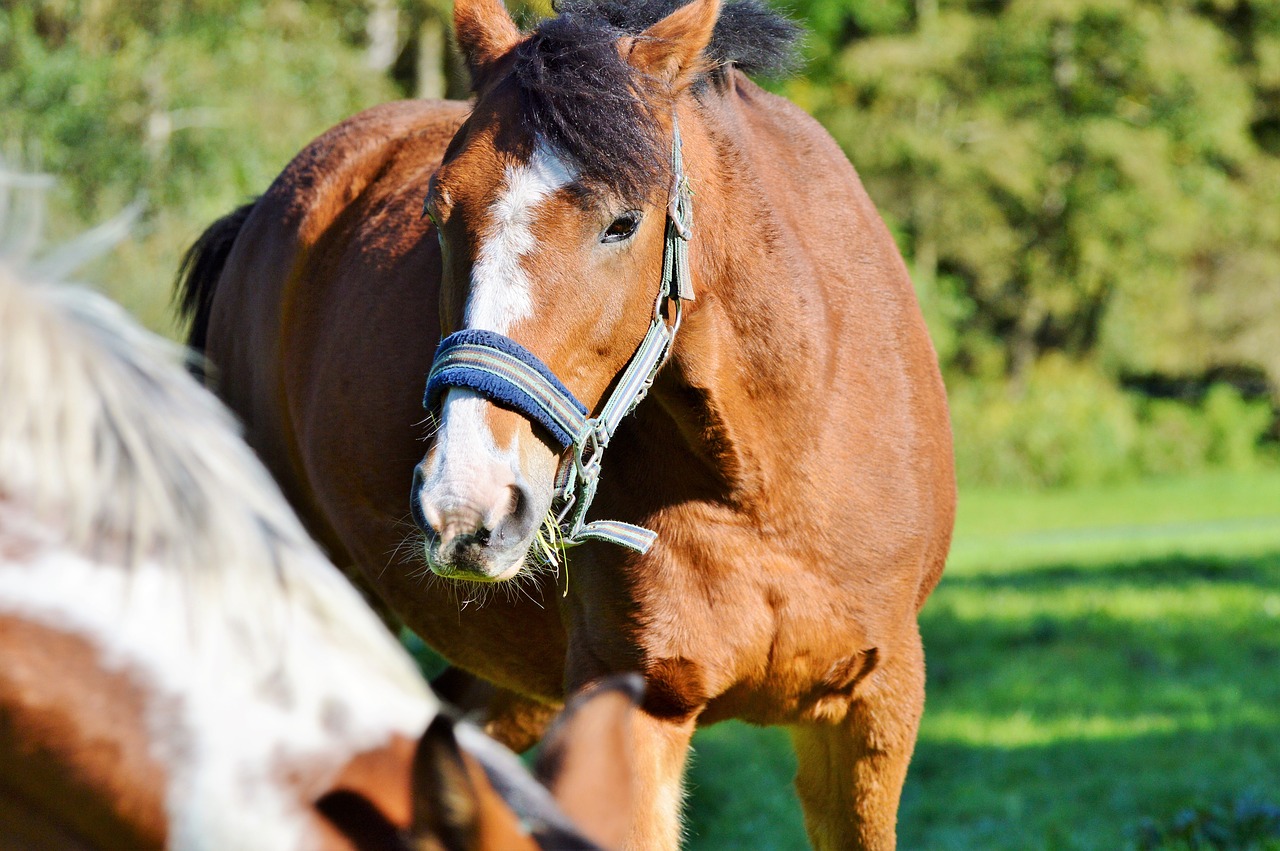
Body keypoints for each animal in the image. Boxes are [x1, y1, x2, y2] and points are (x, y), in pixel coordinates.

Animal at [183, 1, 952, 844]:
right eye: (438, 213)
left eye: (622, 222)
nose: (466, 504)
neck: (768, 477)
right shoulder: (636, 708)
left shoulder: (873, 715)